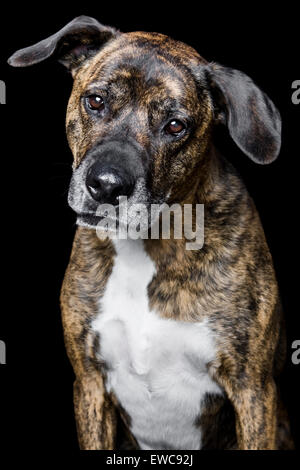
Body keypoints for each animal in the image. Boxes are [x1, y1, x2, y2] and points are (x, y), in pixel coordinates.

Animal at [8, 13, 292, 448]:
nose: (107, 185)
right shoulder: (89, 384)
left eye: (175, 126)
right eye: (96, 101)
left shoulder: (253, 390)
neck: (147, 247)